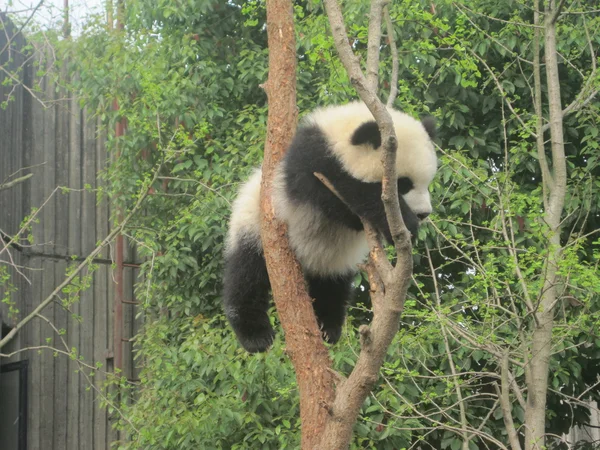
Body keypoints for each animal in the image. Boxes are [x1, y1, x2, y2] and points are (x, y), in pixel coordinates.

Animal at [223, 103, 438, 356]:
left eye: (427, 182)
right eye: (403, 184)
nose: (424, 213)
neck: (334, 137)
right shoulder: (310, 163)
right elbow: (339, 197)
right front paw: (404, 222)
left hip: (333, 258)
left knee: (332, 287)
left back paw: (328, 328)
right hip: (253, 226)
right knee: (247, 274)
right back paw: (255, 335)